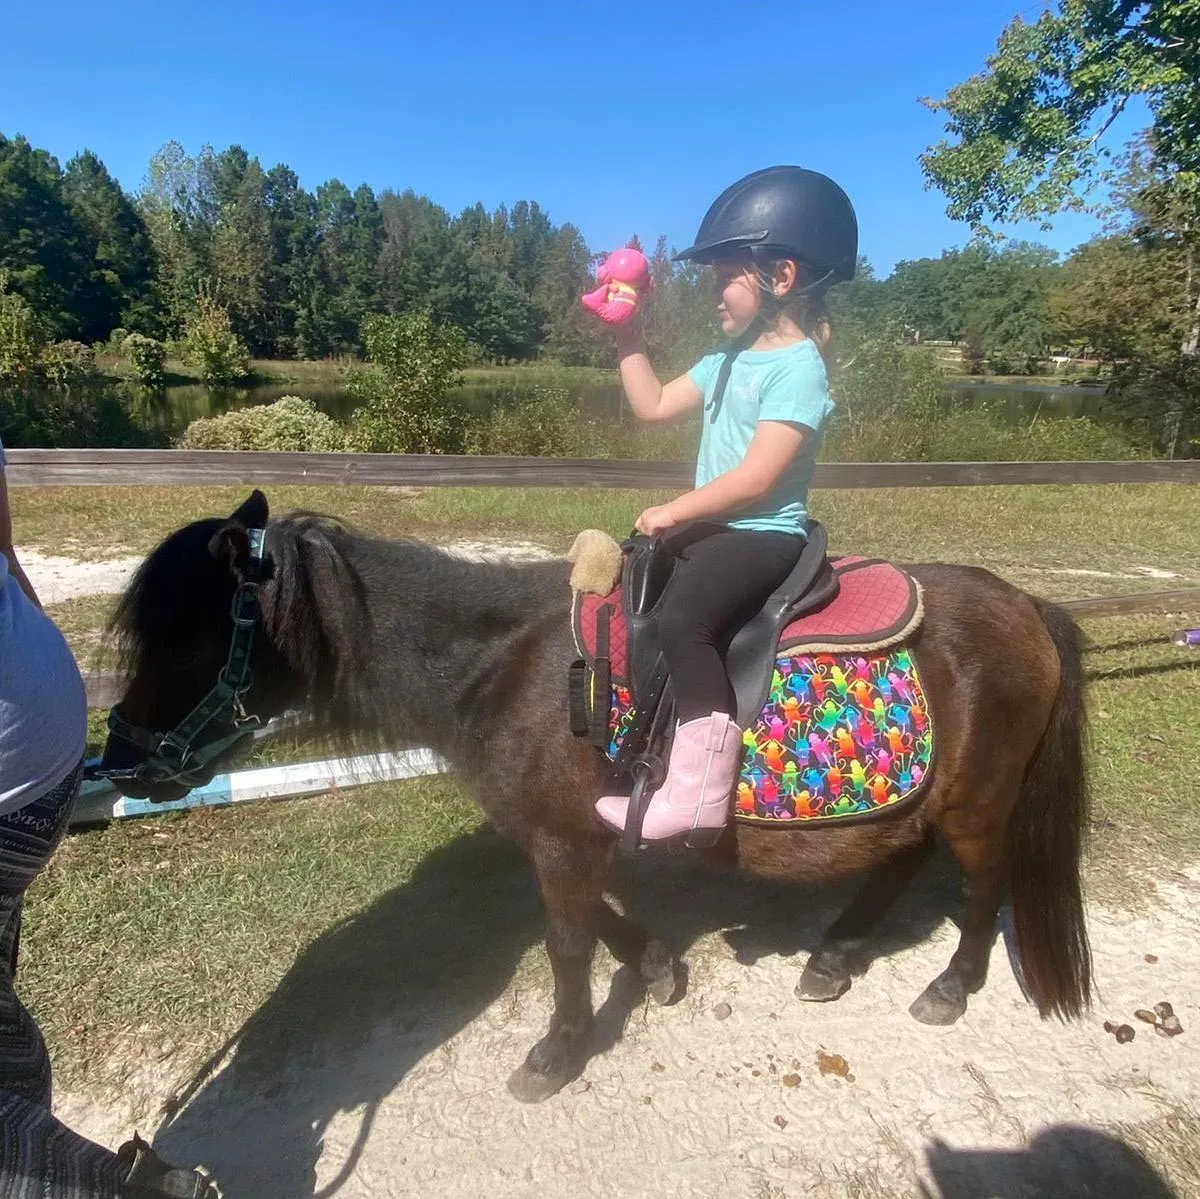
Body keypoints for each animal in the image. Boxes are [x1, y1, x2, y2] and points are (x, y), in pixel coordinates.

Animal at [103, 492, 1094, 1099]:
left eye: (186, 641)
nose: (122, 760)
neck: (510, 665)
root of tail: (1025, 604)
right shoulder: (566, 833)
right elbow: (604, 920)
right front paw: (655, 966)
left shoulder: (561, 841)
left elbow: (568, 942)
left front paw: (558, 1049)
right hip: (923, 800)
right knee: (900, 858)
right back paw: (838, 954)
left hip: (978, 805)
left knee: (985, 884)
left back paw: (950, 984)